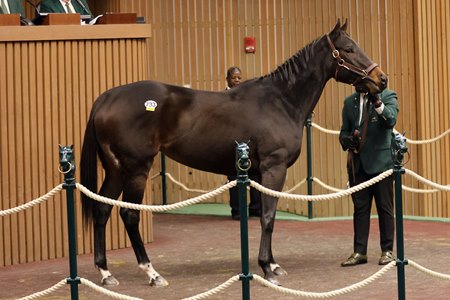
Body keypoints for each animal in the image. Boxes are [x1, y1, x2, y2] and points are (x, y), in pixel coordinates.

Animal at [80, 19, 386, 288]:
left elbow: (265, 214)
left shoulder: (258, 173)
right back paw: (152, 273)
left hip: (116, 169)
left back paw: (106, 273)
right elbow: (268, 216)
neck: (281, 100)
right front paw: (267, 268)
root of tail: (108, 97)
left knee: (102, 209)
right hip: (136, 169)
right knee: (129, 215)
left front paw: (272, 263)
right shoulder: (274, 168)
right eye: (348, 49)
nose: (380, 78)